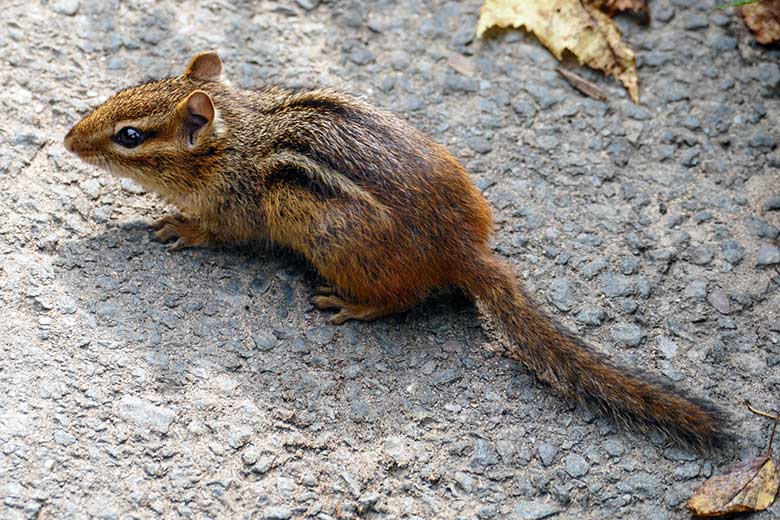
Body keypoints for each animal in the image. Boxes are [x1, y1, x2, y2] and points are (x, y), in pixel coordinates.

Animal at [64, 51, 726, 450]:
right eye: (124, 89)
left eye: (130, 136)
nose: (67, 139)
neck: (239, 134)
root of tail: (462, 250)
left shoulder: (239, 208)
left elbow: (220, 234)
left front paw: (179, 227)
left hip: (337, 245)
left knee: (404, 301)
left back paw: (354, 306)